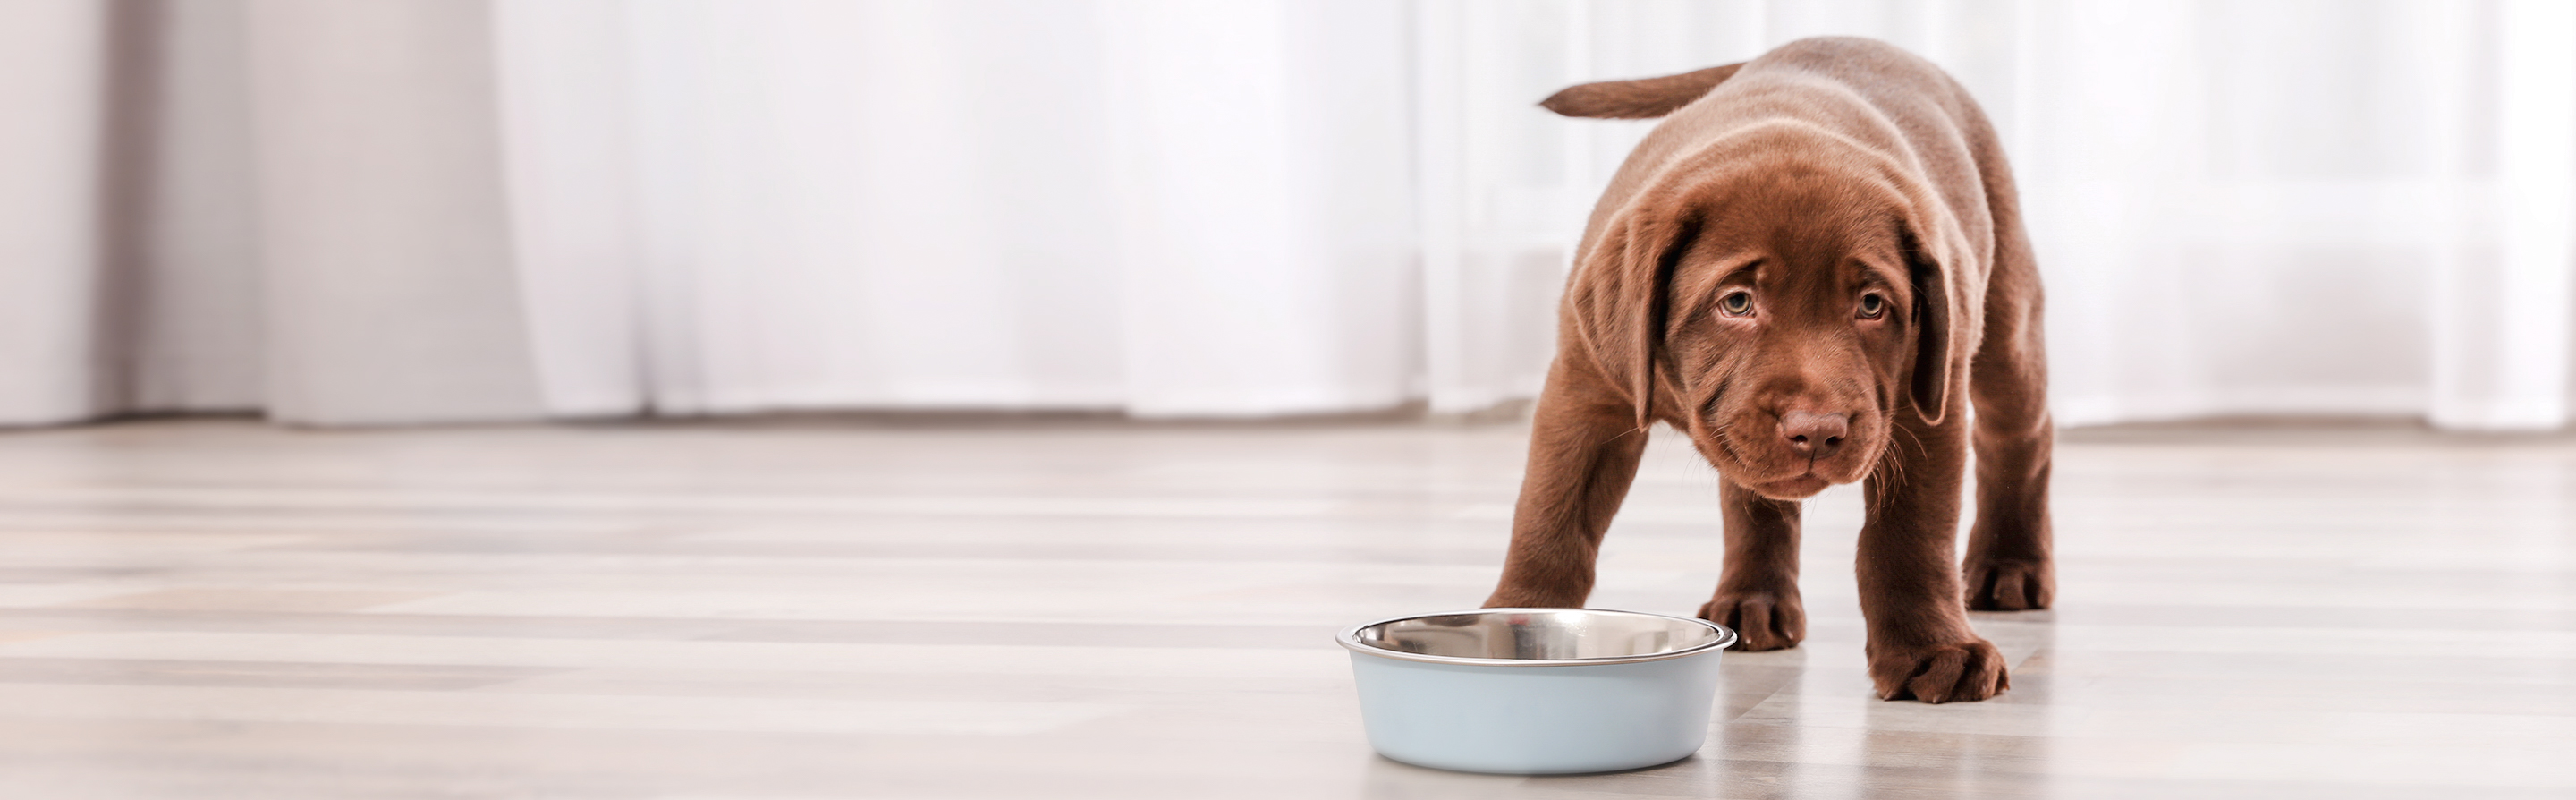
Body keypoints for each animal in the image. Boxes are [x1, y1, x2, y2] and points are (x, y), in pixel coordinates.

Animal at [1494, 37, 2050, 702]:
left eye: (1872, 305)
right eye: (1737, 302)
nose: (1818, 429)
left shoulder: (1926, 405)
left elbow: (1912, 534)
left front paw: (1933, 650)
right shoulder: (1587, 390)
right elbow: (1550, 517)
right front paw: (1518, 624)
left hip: (2003, 321)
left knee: (2020, 435)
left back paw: (2011, 566)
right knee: (1750, 497)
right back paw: (1752, 600)